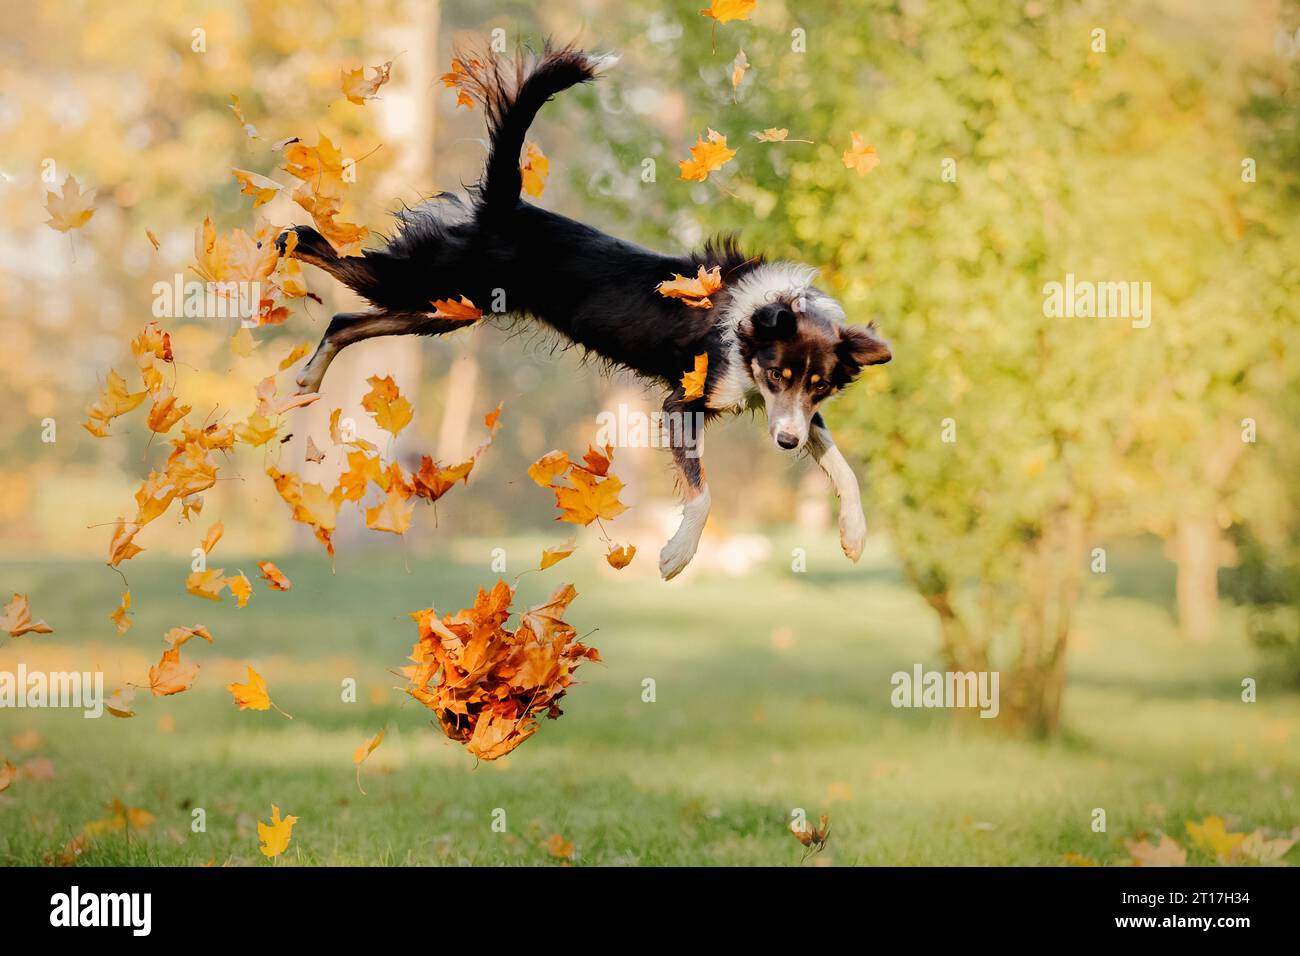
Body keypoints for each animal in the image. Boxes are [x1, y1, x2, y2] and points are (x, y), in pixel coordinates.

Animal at [282, 42, 894, 582]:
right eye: (776, 374)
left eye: (820, 386)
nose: (785, 445)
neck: (754, 320)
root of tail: (506, 206)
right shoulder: (685, 402)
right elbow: (703, 493)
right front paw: (676, 556)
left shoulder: (791, 412)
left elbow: (841, 465)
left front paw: (855, 534)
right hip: (428, 284)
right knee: (318, 247)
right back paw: (284, 244)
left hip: (444, 310)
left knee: (344, 322)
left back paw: (306, 381)